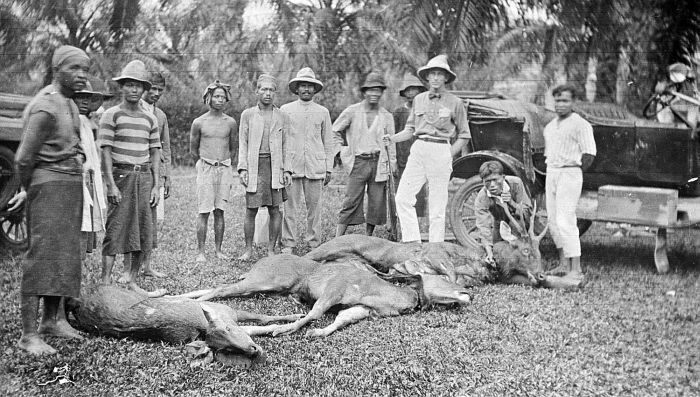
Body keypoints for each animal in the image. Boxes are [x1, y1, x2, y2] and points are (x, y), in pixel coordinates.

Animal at [67, 284, 302, 366]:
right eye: (225, 349)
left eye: (228, 330)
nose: (253, 350)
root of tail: (79, 302)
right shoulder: (231, 314)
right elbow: (263, 323)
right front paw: (291, 321)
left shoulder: (230, 312)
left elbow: (263, 319)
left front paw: (296, 316)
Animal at [176, 254, 470, 338]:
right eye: (443, 277)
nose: (468, 293)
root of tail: (258, 264)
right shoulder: (333, 289)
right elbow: (314, 313)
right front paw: (285, 329)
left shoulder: (363, 308)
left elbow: (341, 318)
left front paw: (318, 333)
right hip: (268, 279)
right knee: (221, 289)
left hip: (263, 285)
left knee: (221, 287)